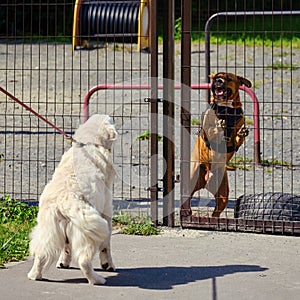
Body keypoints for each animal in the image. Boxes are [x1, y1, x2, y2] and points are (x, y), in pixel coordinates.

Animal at [27, 114, 117, 284]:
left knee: (41, 254)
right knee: (84, 261)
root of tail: (64, 201)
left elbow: (66, 247)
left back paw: (35, 275)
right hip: (89, 232)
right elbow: (107, 246)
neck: (89, 143)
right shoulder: (107, 212)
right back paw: (97, 279)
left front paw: (63, 263)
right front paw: (108, 265)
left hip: (49, 230)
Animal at [182, 72, 252, 218]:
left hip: (223, 194)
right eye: (215, 78)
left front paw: (241, 133)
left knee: (216, 212)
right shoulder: (207, 127)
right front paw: (220, 125)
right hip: (191, 180)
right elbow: (212, 129)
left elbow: (237, 138)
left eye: (229, 78)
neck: (226, 108)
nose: (218, 81)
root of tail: (207, 177)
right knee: (186, 199)